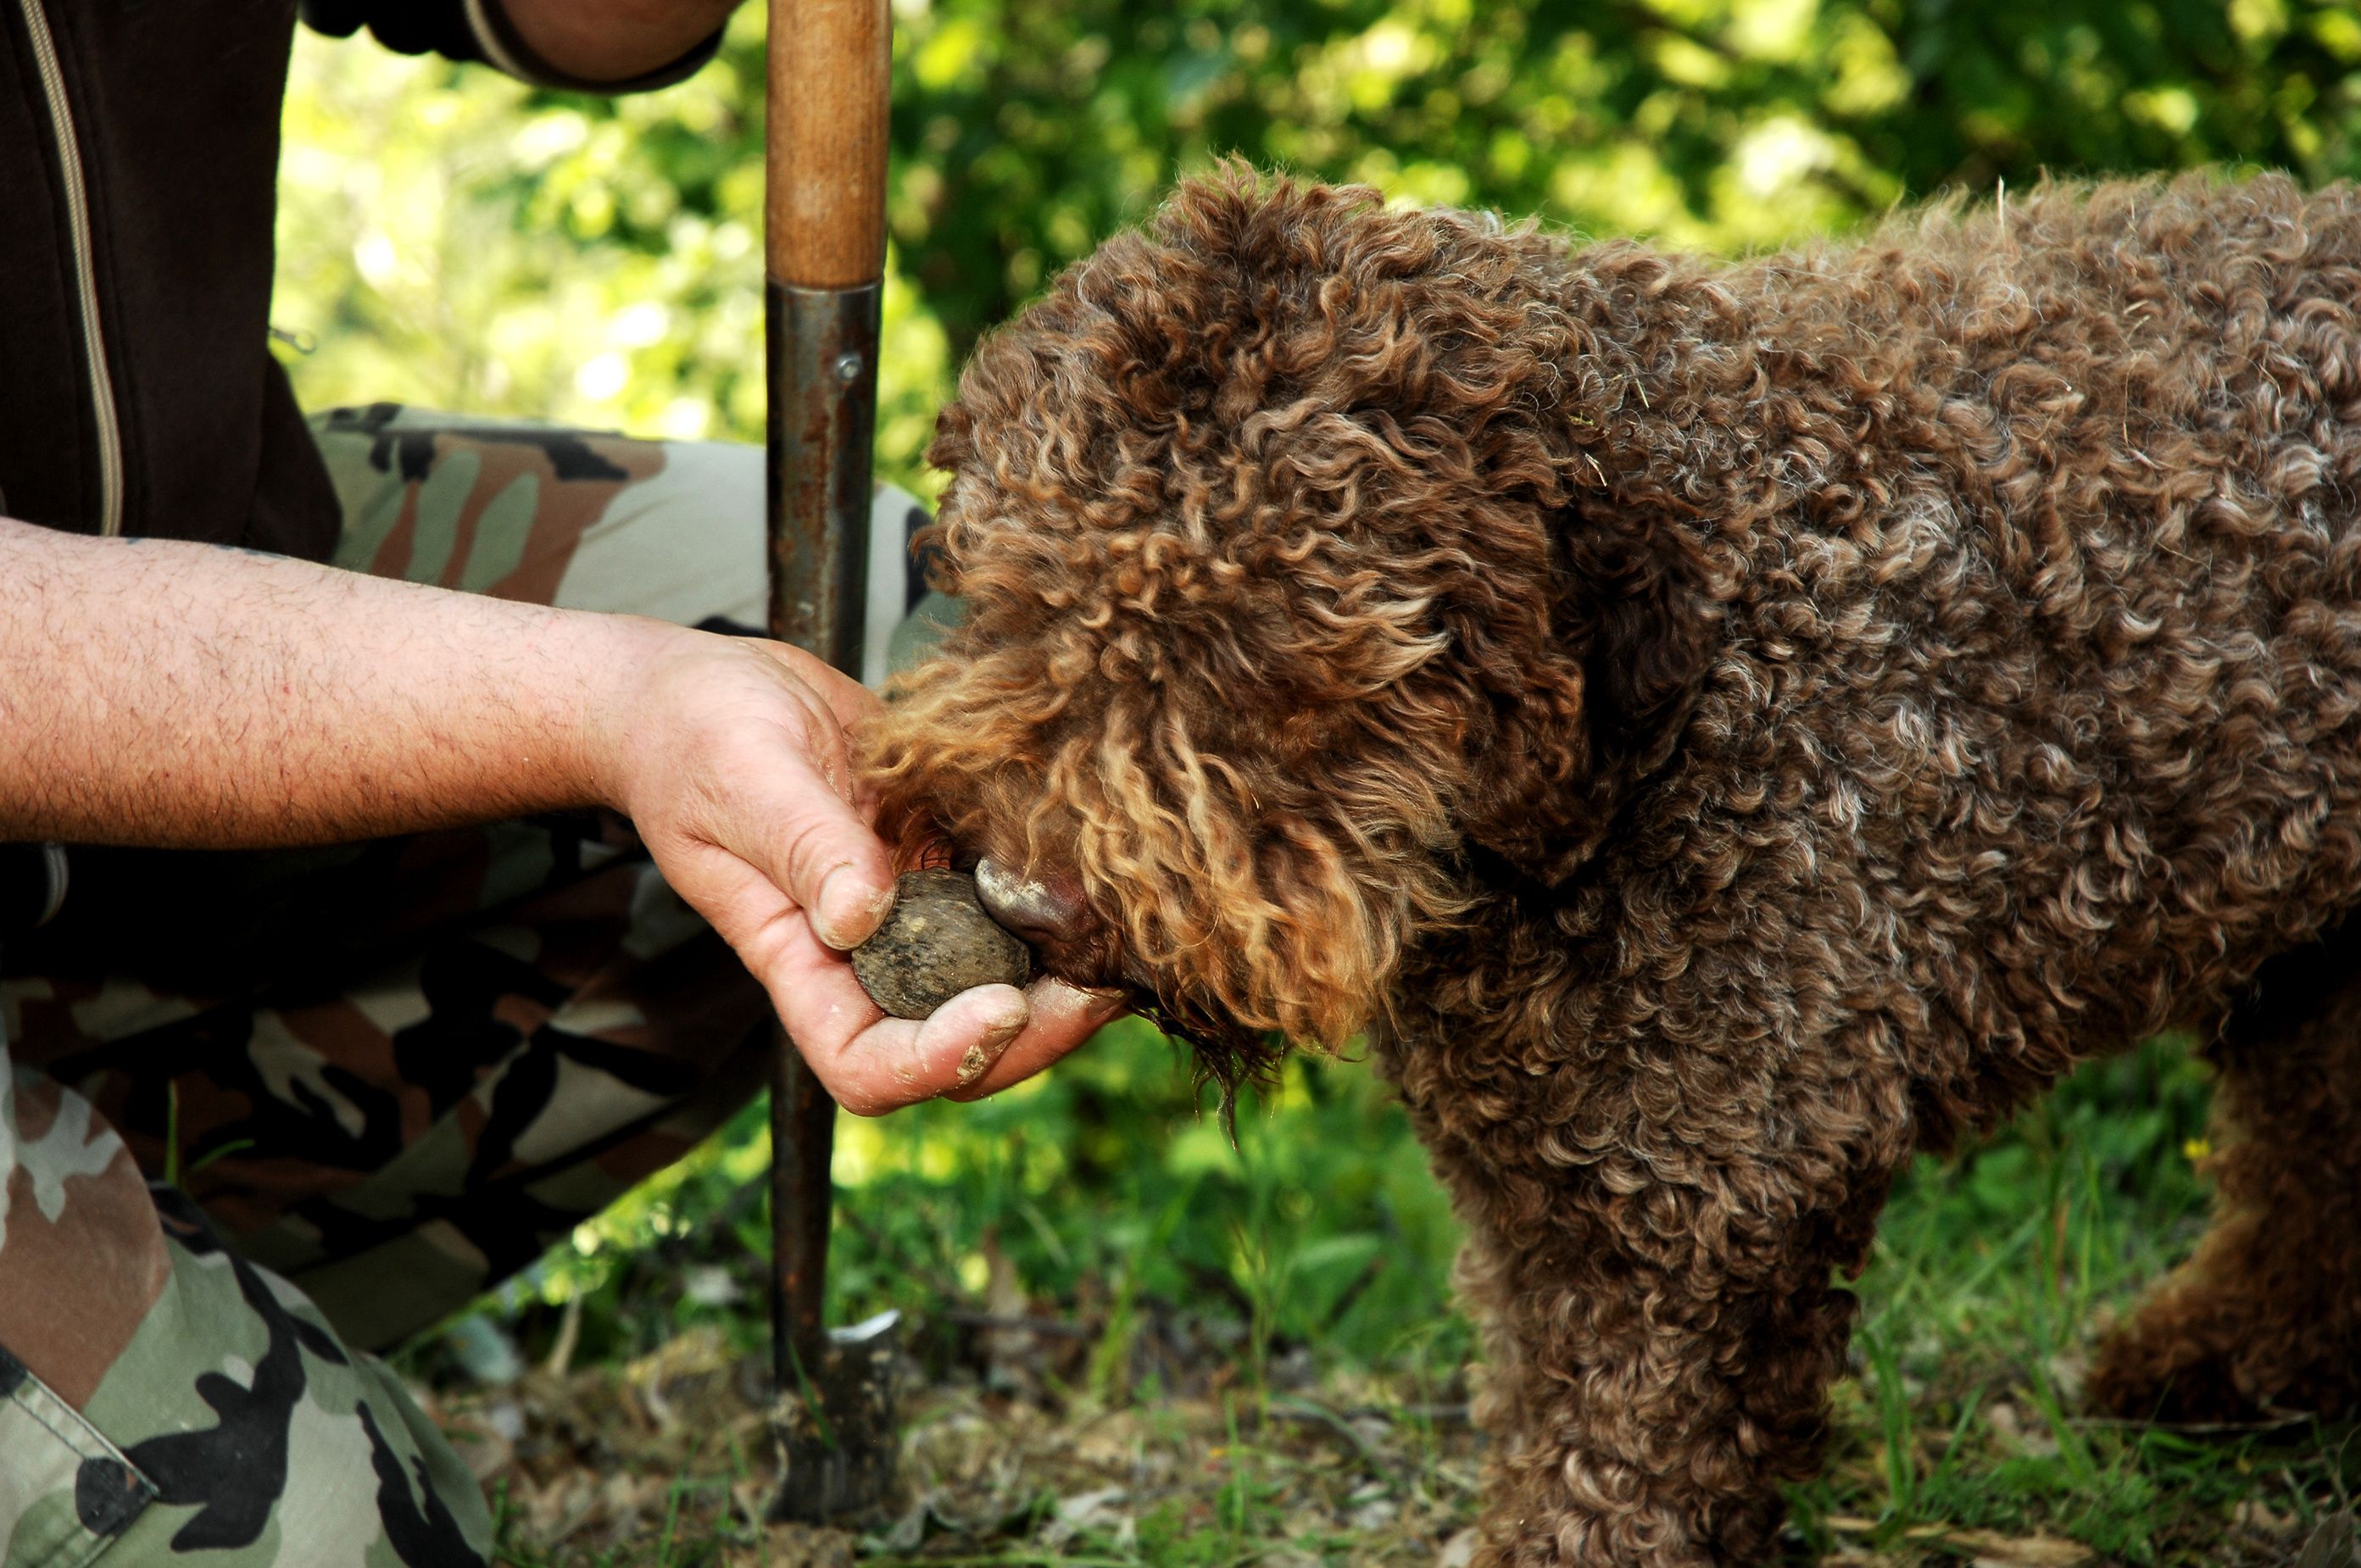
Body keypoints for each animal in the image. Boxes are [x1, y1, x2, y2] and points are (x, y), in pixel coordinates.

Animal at [868, 165, 2361, 1558]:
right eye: (1016, 592)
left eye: (1262, 650)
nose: (1021, 894)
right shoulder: (1543, 1192)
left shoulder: (1701, 1198)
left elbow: (1618, 1470)